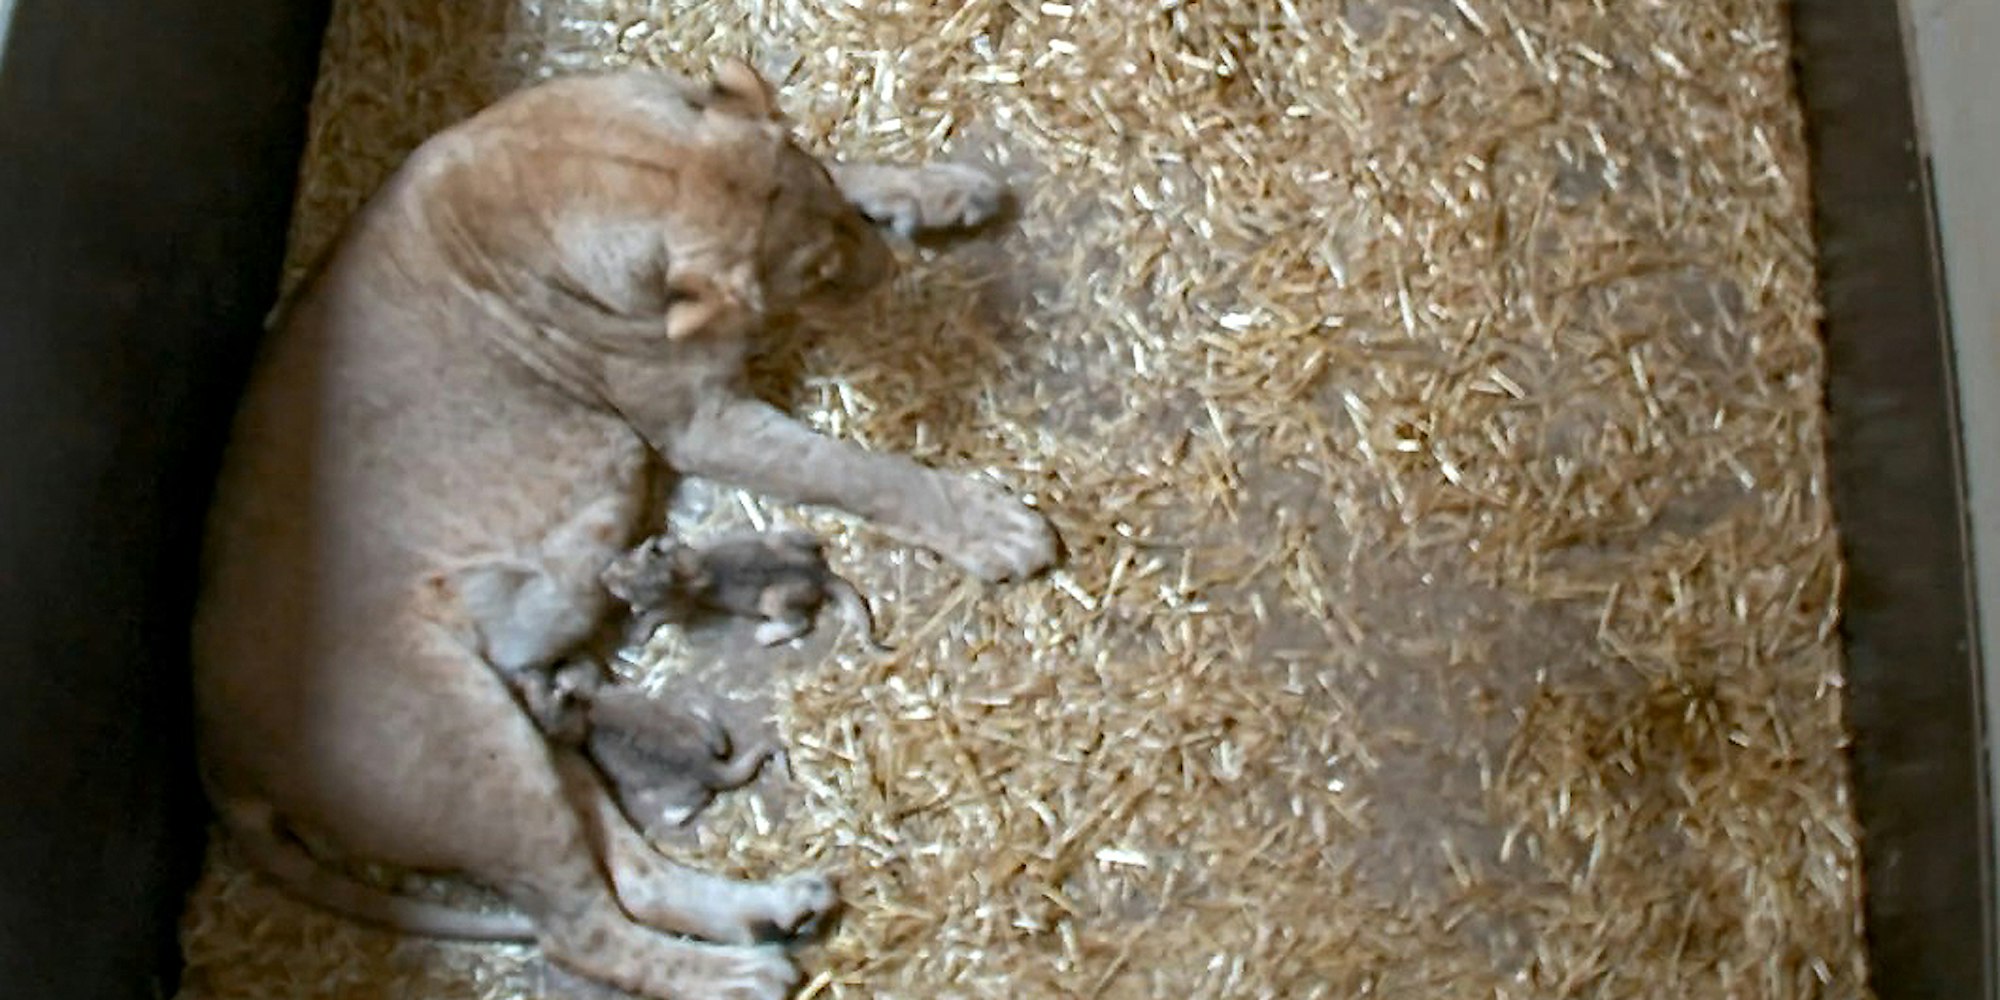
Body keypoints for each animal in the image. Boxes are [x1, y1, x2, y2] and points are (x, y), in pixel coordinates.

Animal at [192, 60, 1057, 1000]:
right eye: (818, 274)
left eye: (830, 213)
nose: (885, 273)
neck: (614, 162)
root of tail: (218, 749)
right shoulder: (697, 423)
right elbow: (857, 472)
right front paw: (994, 527)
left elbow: (835, 155)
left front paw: (941, 189)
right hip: (467, 750)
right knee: (577, 931)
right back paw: (741, 975)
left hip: (524, 732)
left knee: (629, 878)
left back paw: (773, 911)